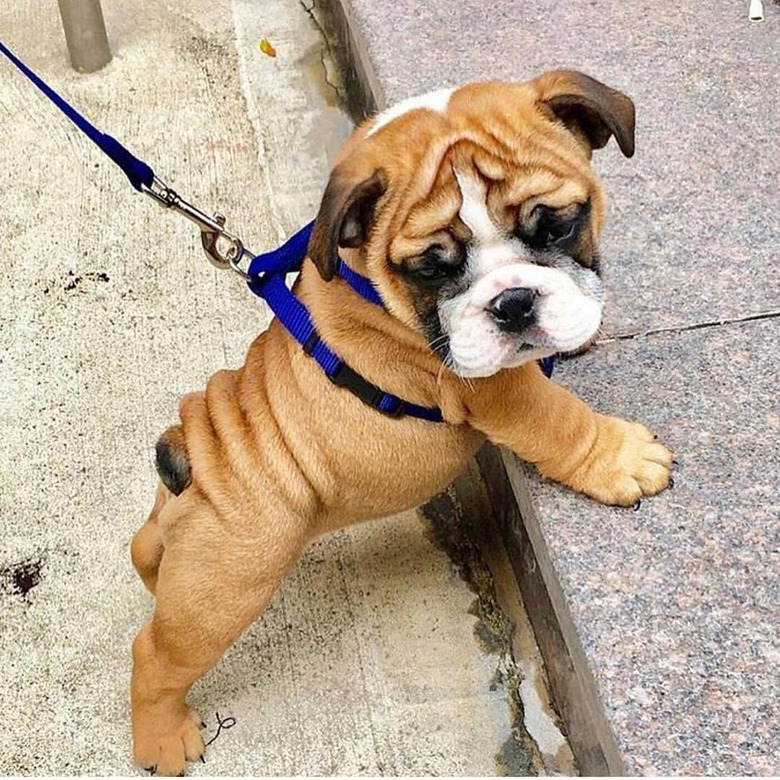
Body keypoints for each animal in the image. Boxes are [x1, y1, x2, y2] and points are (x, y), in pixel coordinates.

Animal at [131, 71, 672, 772]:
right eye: (432, 268)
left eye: (556, 225)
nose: (514, 302)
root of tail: (196, 451)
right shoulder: (494, 387)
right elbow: (559, 421)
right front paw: (623, 459)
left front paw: (580, 328)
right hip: (224, 586)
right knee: (155, 653)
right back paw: (162, 736)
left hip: (185, 549)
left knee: (146, 548)